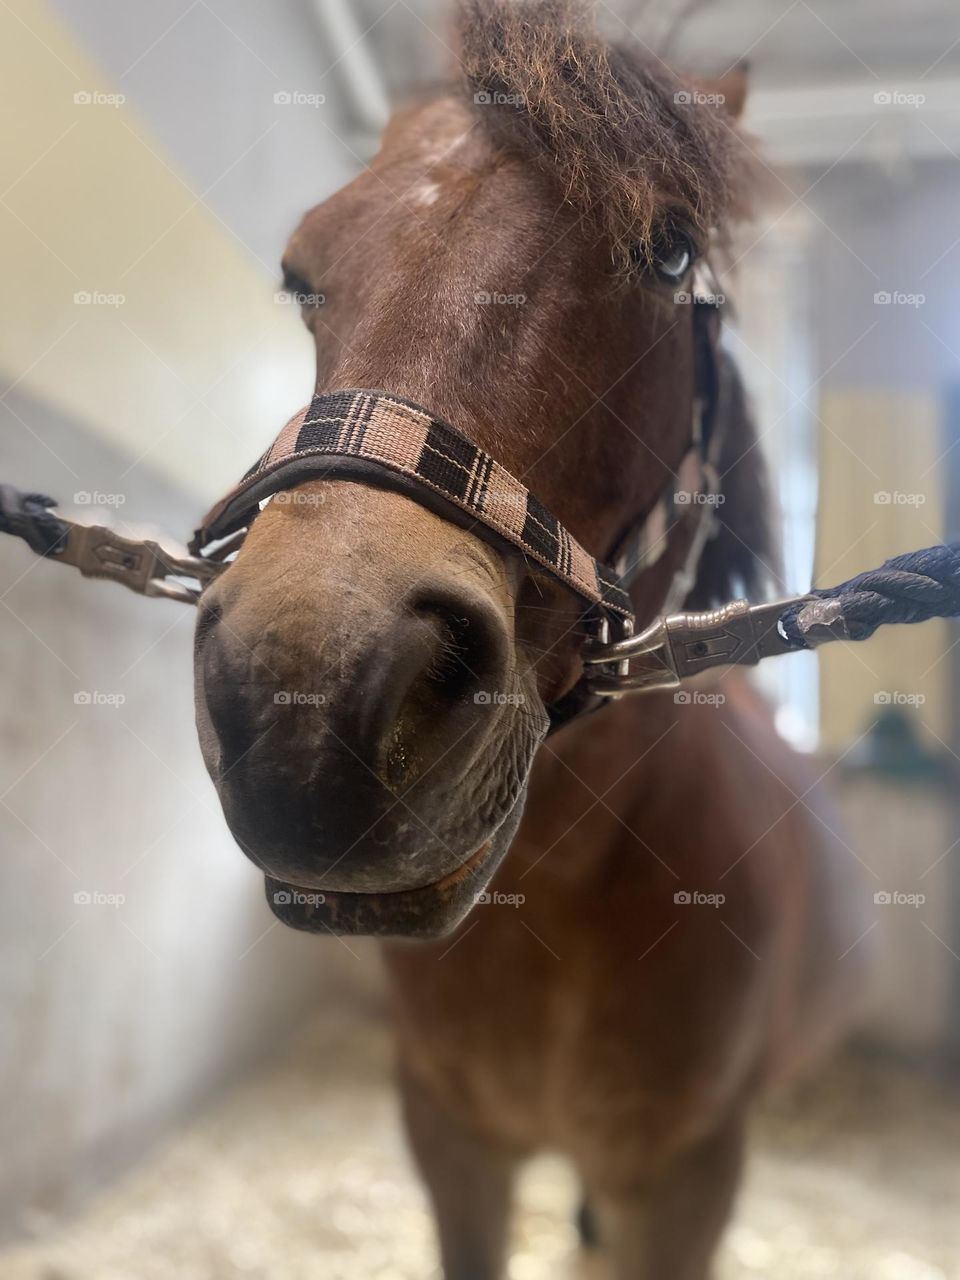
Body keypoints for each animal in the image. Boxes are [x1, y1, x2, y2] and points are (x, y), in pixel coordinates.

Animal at [192, 2, 862, 1275]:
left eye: (671, 250)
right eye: (302, 272)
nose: (304, 706)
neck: (552, 899)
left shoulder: (685, 1183)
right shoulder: (450, 1139)